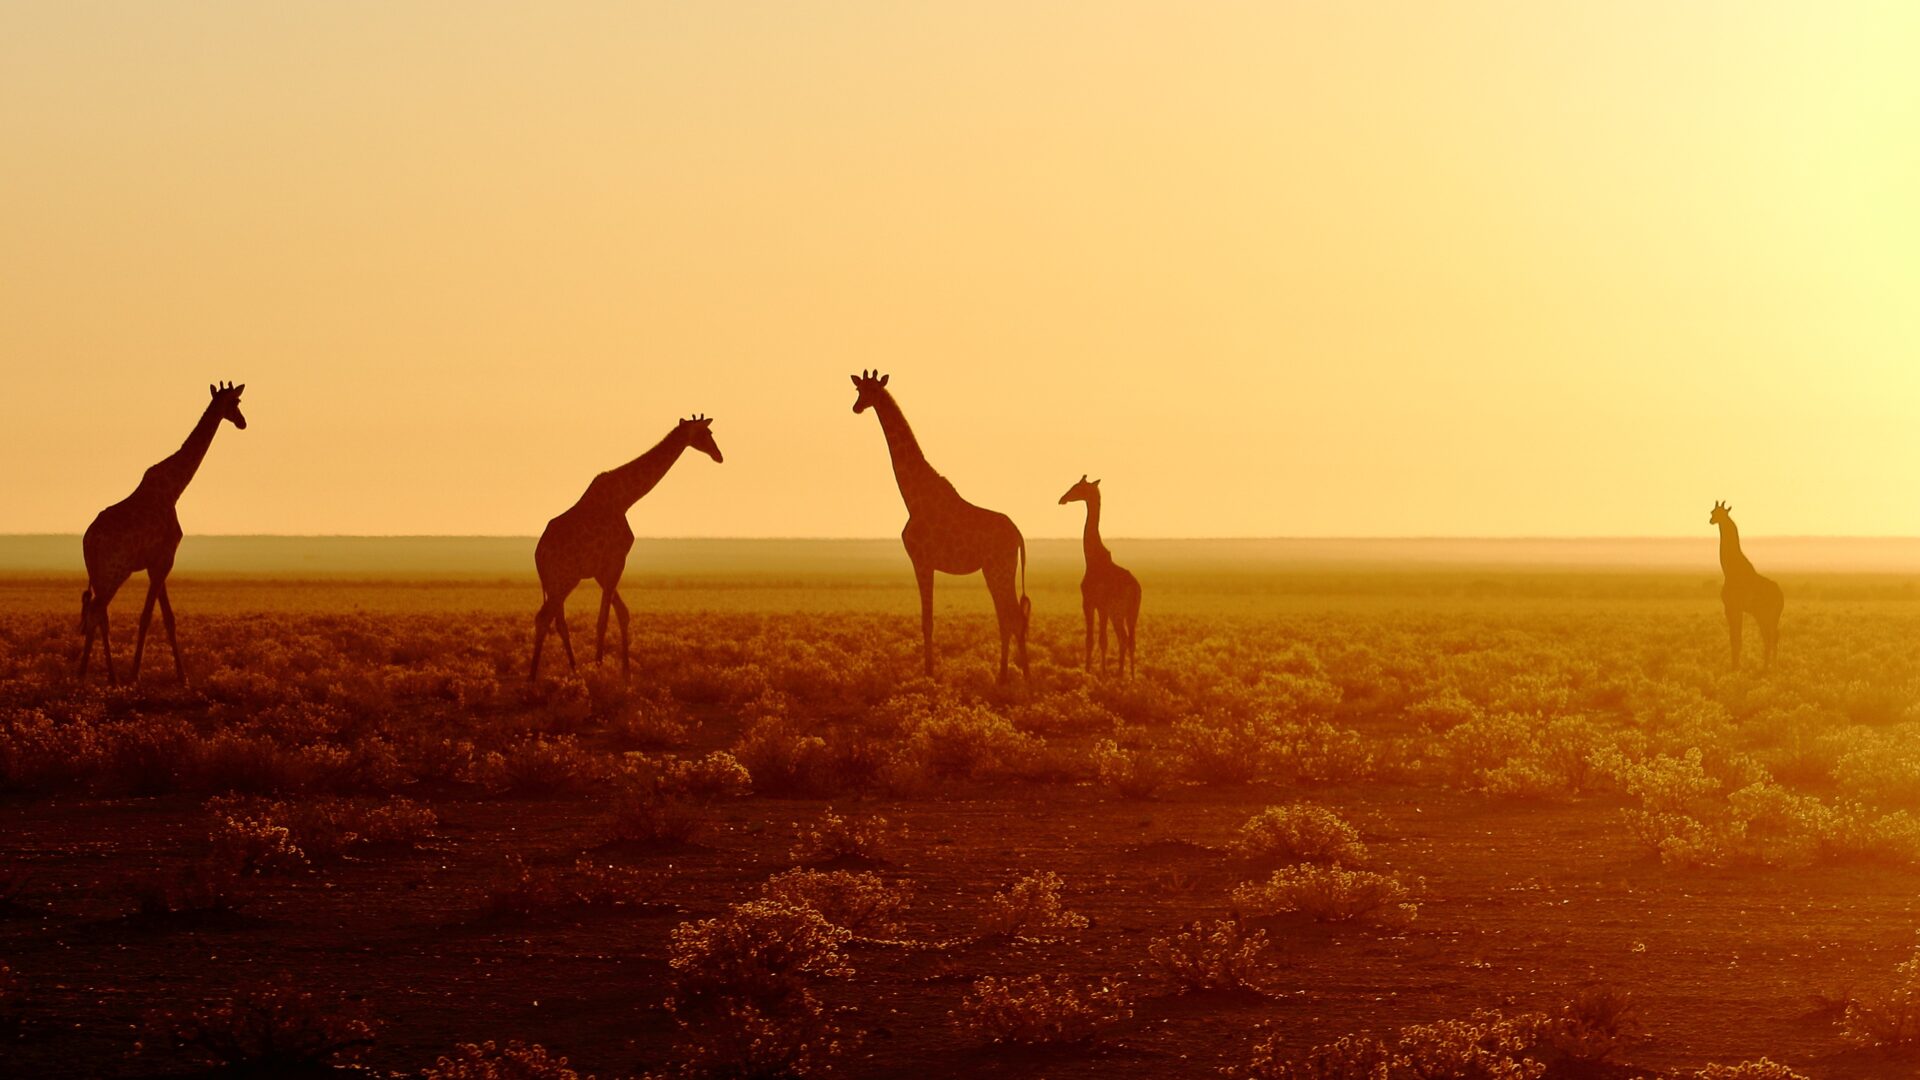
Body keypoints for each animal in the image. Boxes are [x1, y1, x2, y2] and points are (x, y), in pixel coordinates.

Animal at [79, 382, 248, 684]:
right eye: (235, 402)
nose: (242, 422)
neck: (174, 489)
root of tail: (88, 541)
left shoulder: (156, 562)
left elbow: (168, 618)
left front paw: (182, 677)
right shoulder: (164, 558)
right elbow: (147, 616)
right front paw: (135, 675)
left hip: (99, 574)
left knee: (99, 614)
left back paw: (104, 675)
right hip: (115, 571)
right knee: (97, 611)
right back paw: (90, 674)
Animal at [529, 415, 723, 681]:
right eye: (707, 433)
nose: (719, 455)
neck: (625, 499)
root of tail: (538, 553)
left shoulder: (602, 570)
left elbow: (622, 613)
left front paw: (626, 672)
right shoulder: (615, 561)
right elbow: (603, 619)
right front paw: (600, 668)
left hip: (559, 581)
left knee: (556, 620)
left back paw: (572, 669)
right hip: (563, 578)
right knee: (544, 618)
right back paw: (534, 677)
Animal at [850, 371, 1029, 682]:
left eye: (872, 390)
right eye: (859, 389)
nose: (856, 407)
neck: (912, 497)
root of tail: (1018, 534)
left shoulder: (922, 560)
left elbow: (927, 620)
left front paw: (929, 673)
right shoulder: (925, 562)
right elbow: (928, 619)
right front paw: (929, 670)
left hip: (999, 568)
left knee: (1013, 617)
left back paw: (1018, 678)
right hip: (997, 569)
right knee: (1008, 617)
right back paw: (1007, 675)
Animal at [1058, 475, 1141, 677]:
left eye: (1078, 487)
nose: (1062, 499)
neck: (1092, 560)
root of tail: (1136, 589)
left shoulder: (1092, 603)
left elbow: (1097, 640)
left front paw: (1094, 672)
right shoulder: (1098, 606)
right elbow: (1096, 639)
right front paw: (1096, 671)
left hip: (1118, 612)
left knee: (1124, 639)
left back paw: (1122, 675)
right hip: (1130, 612)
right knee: (1128, 640)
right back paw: (1129, 676)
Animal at [1709, 500, 1783, 669]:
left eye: (1720, 513)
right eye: (1712, 512)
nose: (1711, 520)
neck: (1729, 569)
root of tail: (1781, 597)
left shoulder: (1731, 607)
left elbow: (1735, 639)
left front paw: (1735, 667)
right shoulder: (1737, 609)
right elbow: (1736, 638)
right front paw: (1736, 665)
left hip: (1764, 615)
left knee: (1769, 637)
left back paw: (1766, 667)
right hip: (1771, 616)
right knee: (1774, 636)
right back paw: (1772, 666)